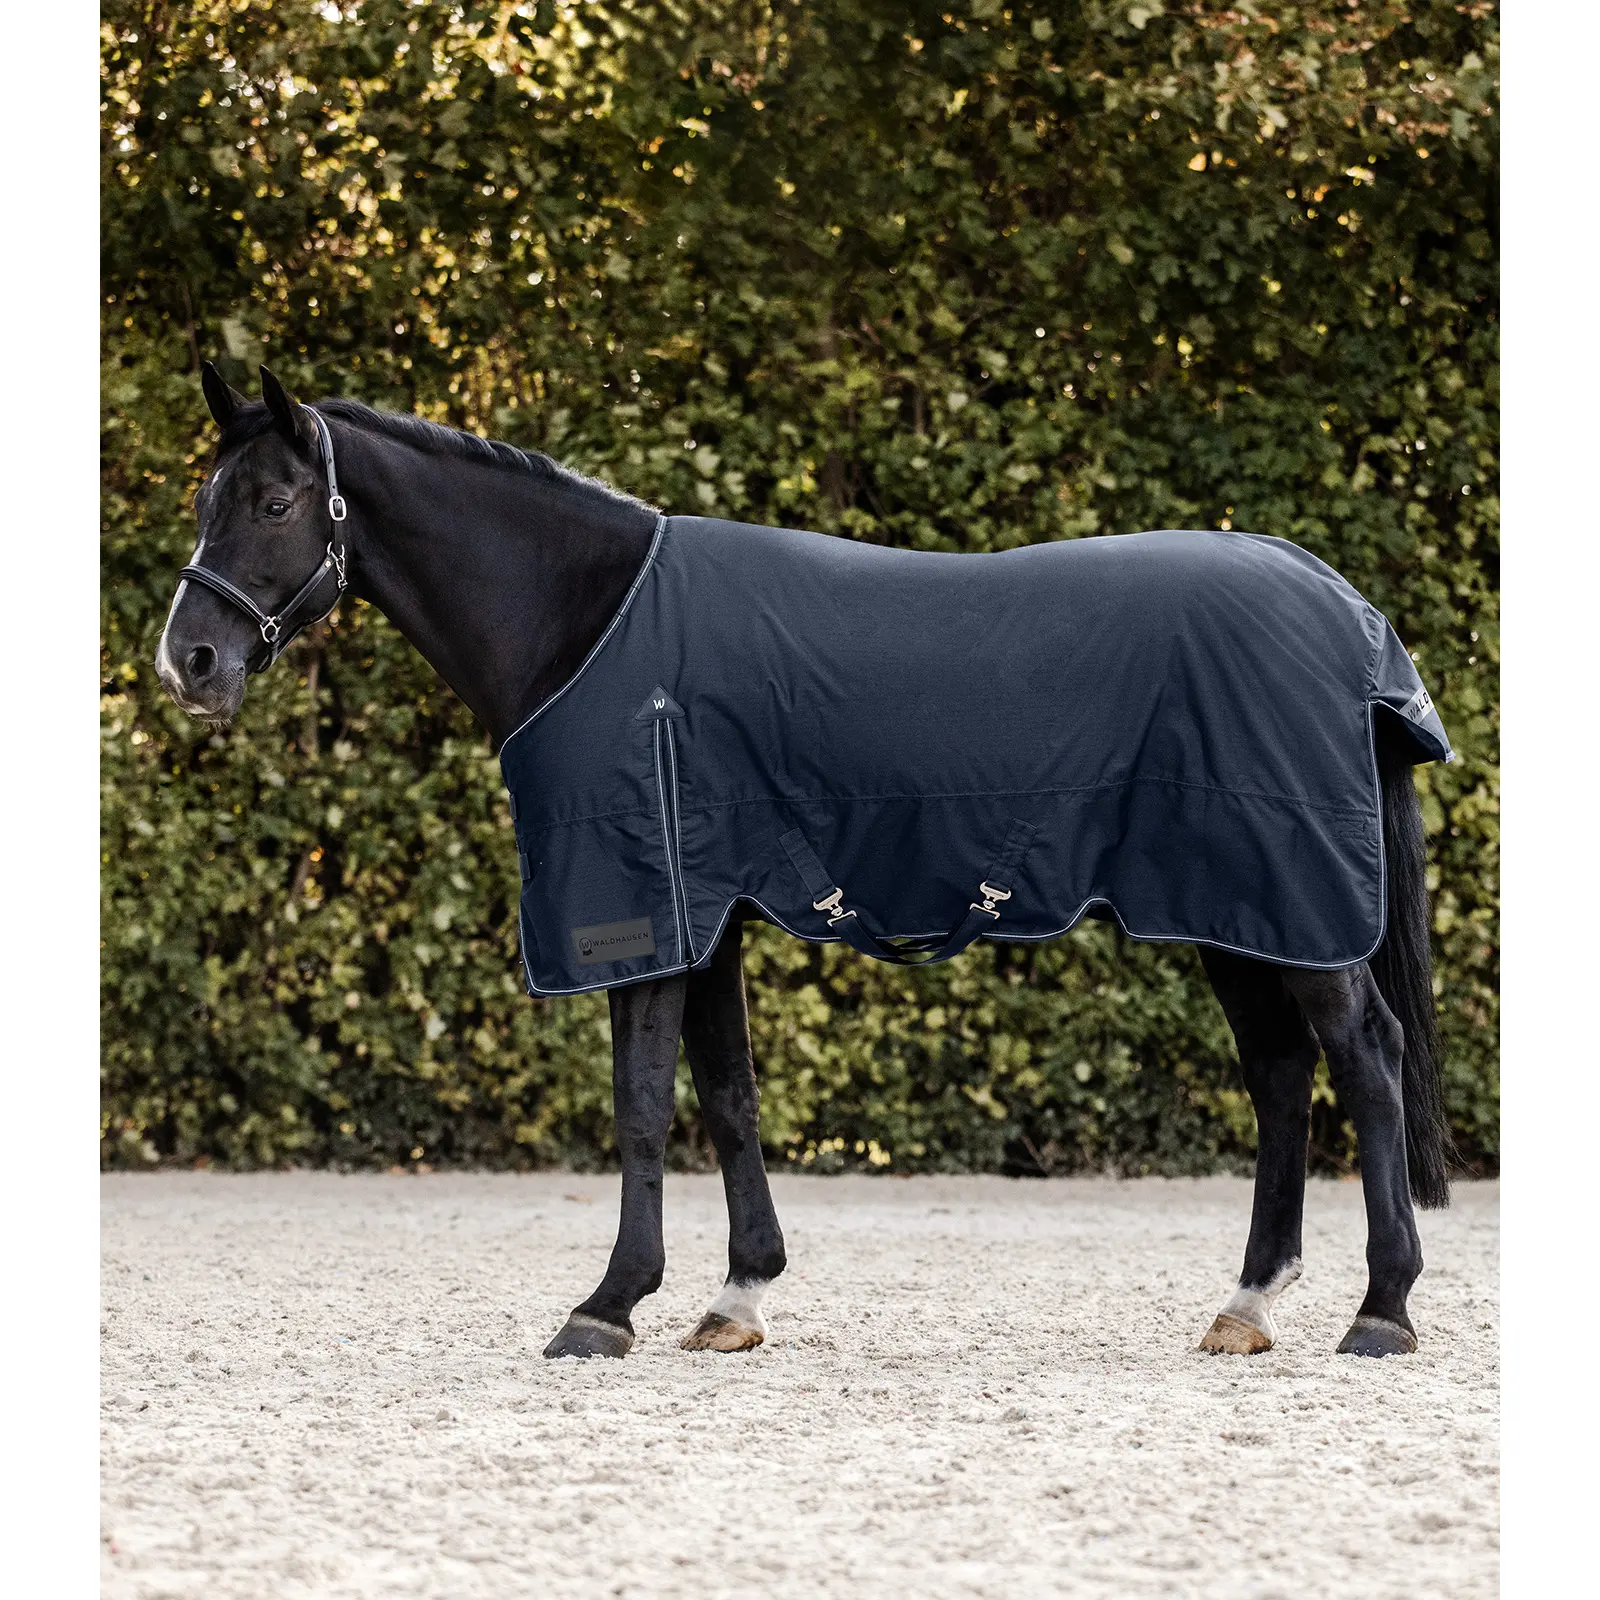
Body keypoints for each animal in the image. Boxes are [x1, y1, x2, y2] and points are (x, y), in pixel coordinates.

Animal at [154, 363, 1454, 1362]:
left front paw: (606, 1305)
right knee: (1281, 1074)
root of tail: (1339, 607)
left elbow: (640, 1103)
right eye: (210, 494)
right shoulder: (709, 910)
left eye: (275, 499)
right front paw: (736, 1295)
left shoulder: (644, 910)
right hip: (1234, 907)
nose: (190, 663)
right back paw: (1247, 1303)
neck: (589, 622)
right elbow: (727, 1094)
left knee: (1365, 1056)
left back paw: (1381, 1308)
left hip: (1287, 901)